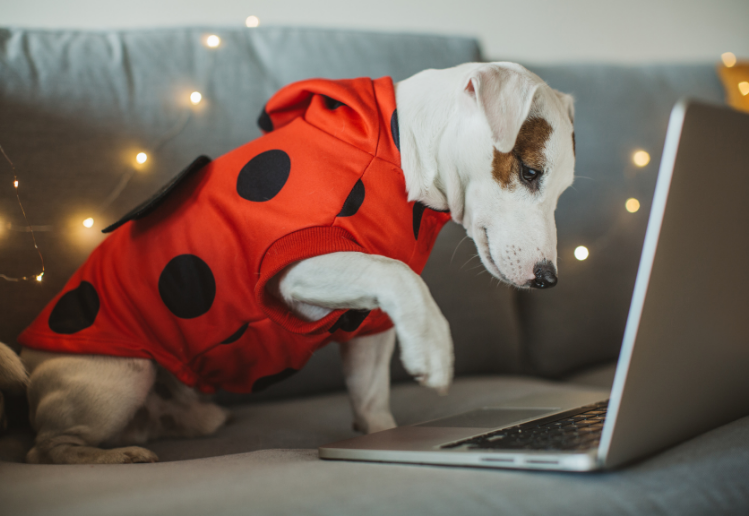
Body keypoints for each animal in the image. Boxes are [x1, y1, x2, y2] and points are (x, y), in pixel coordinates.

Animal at [0, 62, 580, 466]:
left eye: (562, 190)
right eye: (529, 171)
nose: (549, 279)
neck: (399, 150)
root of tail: (30, 361)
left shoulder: (367, 326)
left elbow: (371, 395)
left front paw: (385, 436)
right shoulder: (295, 267)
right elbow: (397, 273)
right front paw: (434, 350)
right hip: (121, 372)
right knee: (46, 447)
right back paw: (113, 455)